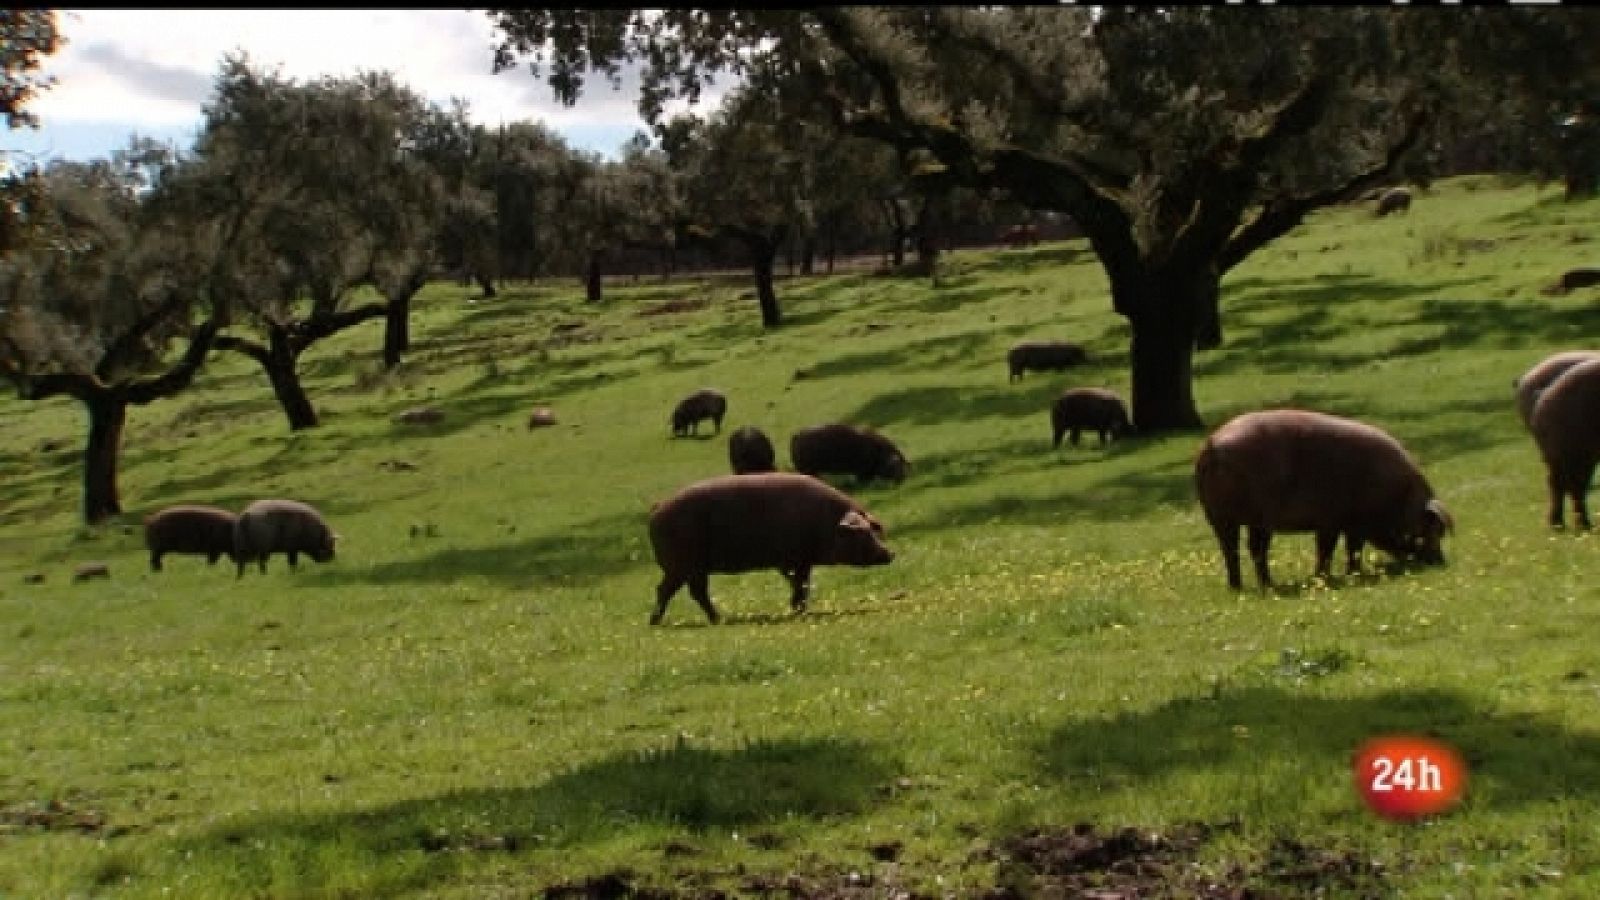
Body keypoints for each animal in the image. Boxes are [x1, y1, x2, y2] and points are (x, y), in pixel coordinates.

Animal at [643, 470, 896, 624]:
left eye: (872, 530)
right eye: (861, 533)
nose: (891, 553)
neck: (825, 523)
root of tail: (657, 508)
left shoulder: (802, 560)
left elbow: (802, 583)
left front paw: (799, 608)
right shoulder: (794, 558)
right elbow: (800, 583)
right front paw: (798, 610)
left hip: (689, 568)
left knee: (683, 591)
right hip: (684, 564)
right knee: (675, 591)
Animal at [1196, 408, 1459, 589]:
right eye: (1426, 532)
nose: (1440, 563)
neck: (1397, 497)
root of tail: (1212, 445)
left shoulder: (1350, 524)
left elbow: (1350, 549)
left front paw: (1350, 574)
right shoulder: (1334, 521)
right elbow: (1332, 550)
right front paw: (1331, 578)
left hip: (1231, 519)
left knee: (1241, 550)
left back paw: (1252, 586)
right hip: (1243, 516)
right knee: (1243, 549)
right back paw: (1257, 586)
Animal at [1523, 355, 1600, 528]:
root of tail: (1543, 393)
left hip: (1572, 454)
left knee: (1568, 484)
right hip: (1570, 451)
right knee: (1568, 484)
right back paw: (1572, 526)